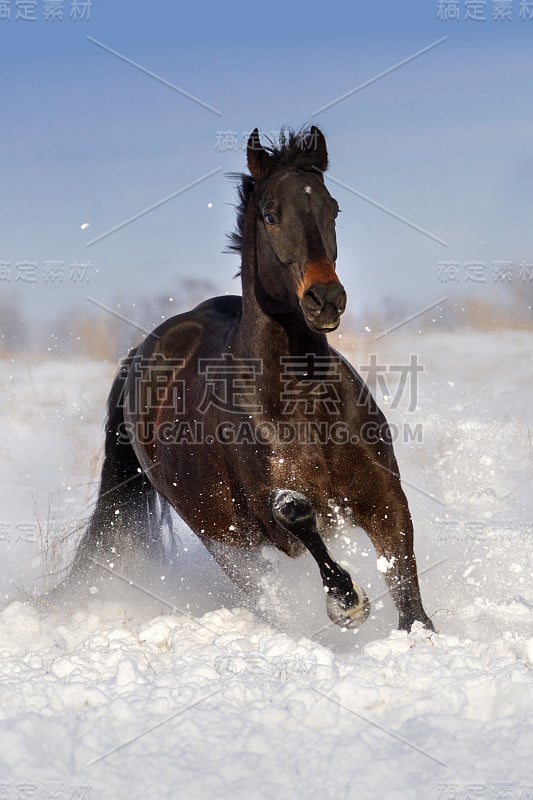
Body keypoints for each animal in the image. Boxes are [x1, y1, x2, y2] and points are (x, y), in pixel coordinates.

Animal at [70, 126, 434, 632]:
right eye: (270, 214)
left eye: (333, 207)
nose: (326, 299)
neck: (303, 401)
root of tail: (143, 352)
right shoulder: (271, 518)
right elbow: (295, 512)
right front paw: (348, 602)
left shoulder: (382, 494)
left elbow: (406, 584)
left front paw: (420, 637)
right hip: (222, 538)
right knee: (264, 594)